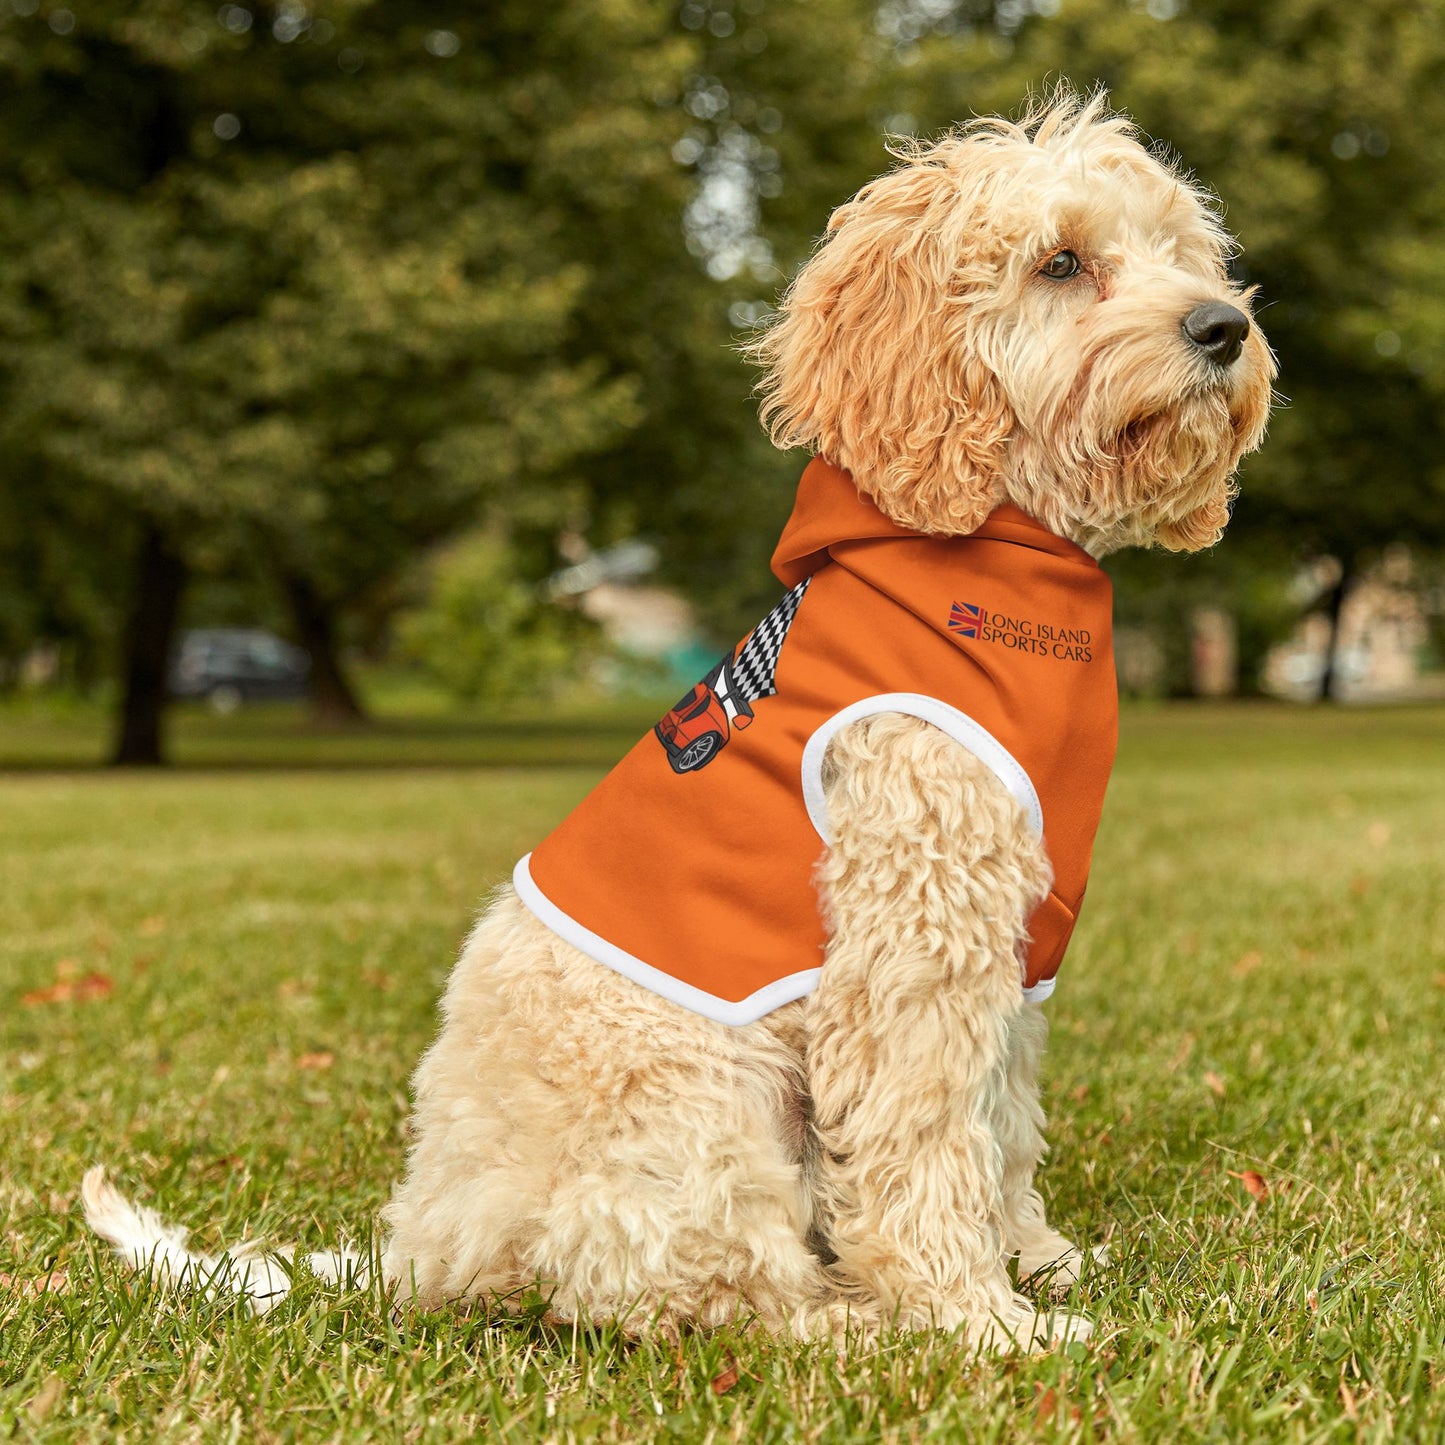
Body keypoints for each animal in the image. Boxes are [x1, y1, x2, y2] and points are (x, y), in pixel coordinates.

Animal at [84, 87, 1271, 1352]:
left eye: (1181, 252)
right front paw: (976, 1318)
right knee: (698, 1290)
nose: (1221, 328)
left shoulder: (1009, 943)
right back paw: (853, 1322)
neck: (995, 558)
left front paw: (1036, 1260)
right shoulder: (913, 935)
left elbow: (999, 1123)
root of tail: (423, 1249)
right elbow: (924, 1139)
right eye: (1060, 261)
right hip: (701, 1100)